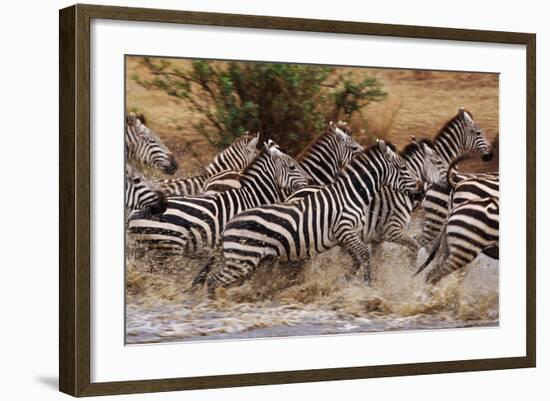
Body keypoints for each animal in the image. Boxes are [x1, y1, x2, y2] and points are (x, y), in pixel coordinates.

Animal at [196, 139, 424, 296]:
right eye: (403, 167)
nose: (421, 189)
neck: (351, 194)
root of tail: (228, 225)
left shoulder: (344, 237)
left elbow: (357, 259)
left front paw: (347, 279)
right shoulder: (346, 229)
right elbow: (365, 255)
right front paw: (369, 285)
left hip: (242, 259)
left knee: (215, 278)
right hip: (243, 259)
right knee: (214, 280)